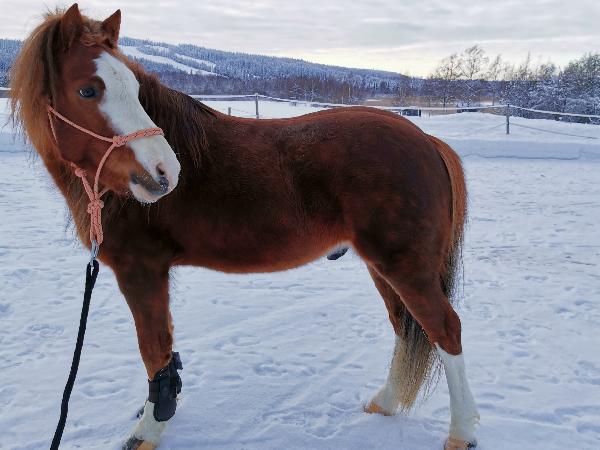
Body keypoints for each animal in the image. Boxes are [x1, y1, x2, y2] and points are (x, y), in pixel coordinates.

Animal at [10, 5, 479, 450]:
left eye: (134, 89)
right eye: (87, 89)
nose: (165, 172)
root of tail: (427, 141)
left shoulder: (141, 270)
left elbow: (154, 349)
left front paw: (148, 431)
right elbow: (164, 352)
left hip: (405, 267)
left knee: (444, 329)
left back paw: (461, 432)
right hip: (384, 267)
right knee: (405, 327)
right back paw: (386, 402)